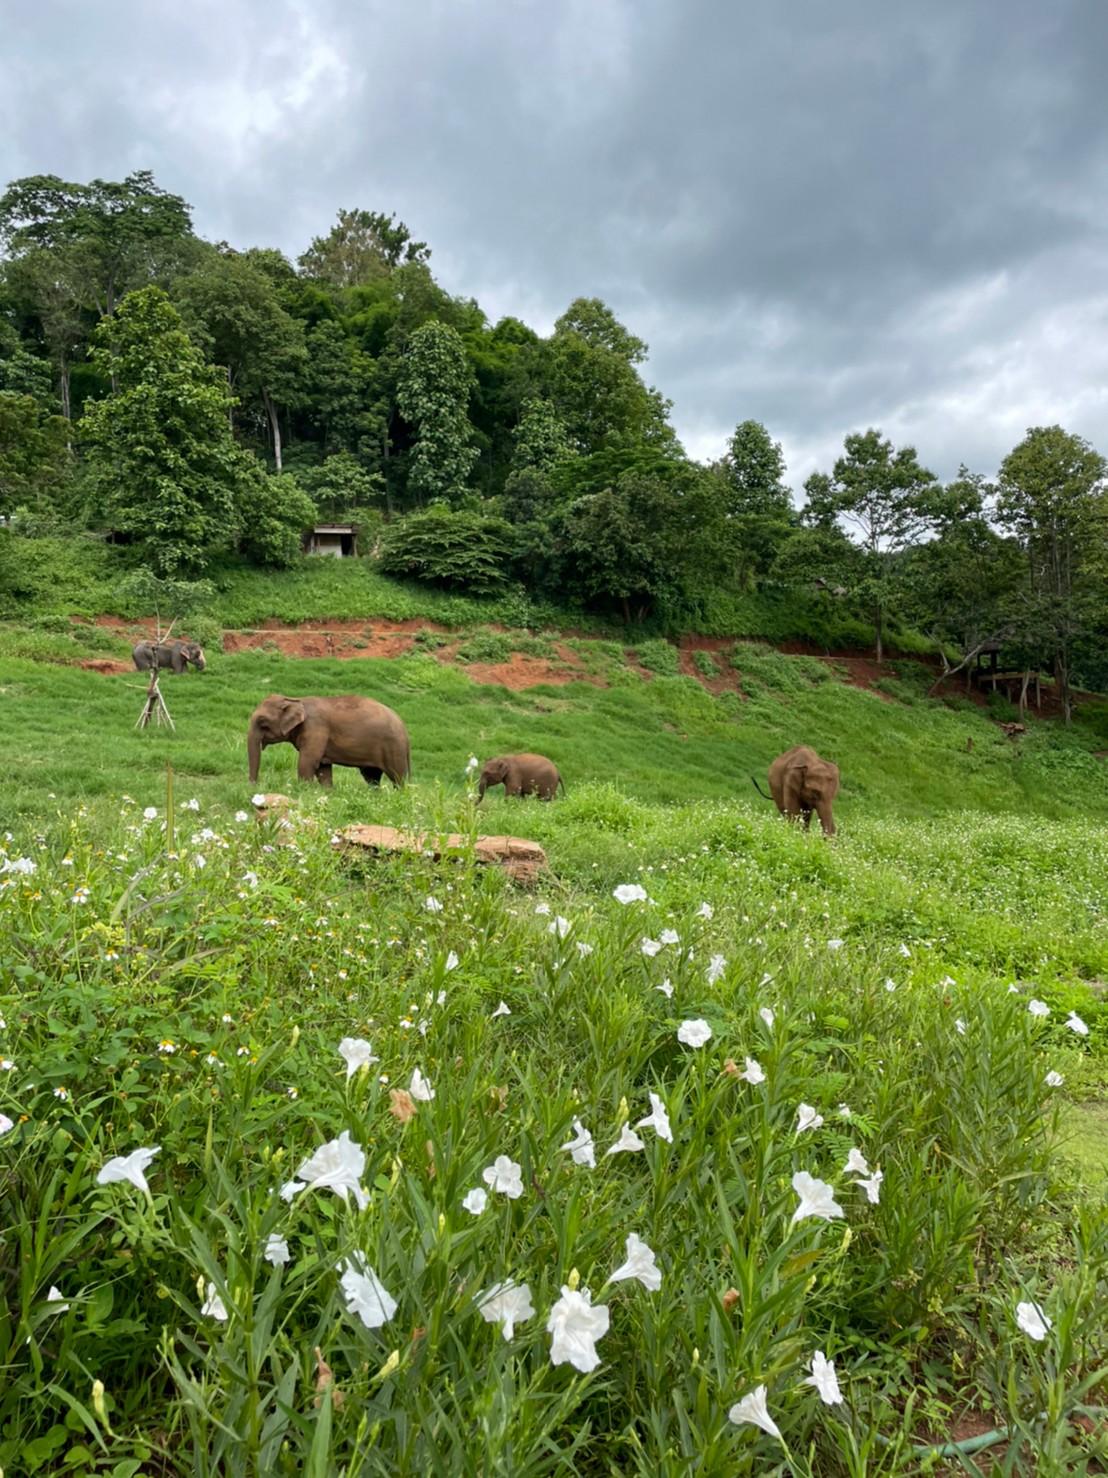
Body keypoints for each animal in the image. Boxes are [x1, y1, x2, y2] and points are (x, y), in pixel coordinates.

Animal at [246, 694, 413, 792]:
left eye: (262, 721)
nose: (254, 788)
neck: (296, 699)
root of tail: (405, 730)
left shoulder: (316, 729)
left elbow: (307, 762)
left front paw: (303, 791)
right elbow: (322, 768)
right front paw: (328, 793)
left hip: (393, 747)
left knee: (397, 776)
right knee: (371, 776)